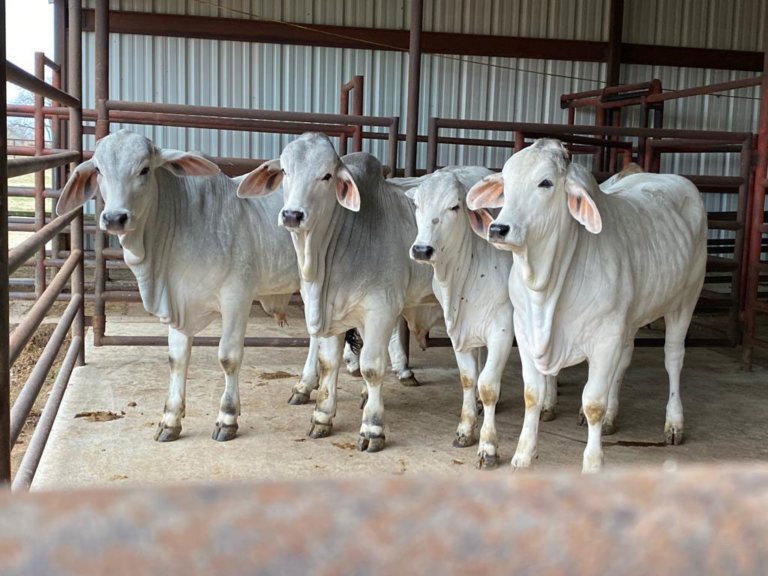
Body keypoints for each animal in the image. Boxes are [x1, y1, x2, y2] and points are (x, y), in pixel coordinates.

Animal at [56, 129, 324, 443]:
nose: (114, 218)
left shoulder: (236, 298)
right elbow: (177, 358)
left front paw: (227, 418)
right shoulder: (177, 300)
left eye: (144, 169)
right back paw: (304, 386)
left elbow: (228, 357)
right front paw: (170, 420)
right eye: (98, 170)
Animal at [236, 133, 472, 452]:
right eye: (285, 171)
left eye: (326, 176)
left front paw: (372, 428)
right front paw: (322, 416)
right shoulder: (329, 311)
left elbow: (371, 367)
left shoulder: (381, 309)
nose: (292, 215)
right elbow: (328, 362)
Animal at [407, 170, 558, 468]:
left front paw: (488, 447)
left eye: (454, 207)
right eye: (417, 204)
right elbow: (468, 378)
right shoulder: (457, 331)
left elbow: (488, 385)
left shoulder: (501, 329)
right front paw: (466, 429)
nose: (421, 250)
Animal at [467, 139, 707, 472]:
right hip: (630, 319)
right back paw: (611, 419)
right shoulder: (525, 332)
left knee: (673, 358)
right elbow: (532, 394)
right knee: (625, 359)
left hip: (685, 299)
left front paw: (593, 464)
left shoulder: (605, 338)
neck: (545, 289)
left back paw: (673, 423)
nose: (499, 229)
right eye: (506, 181)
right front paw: (523, 454)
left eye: (545, 183)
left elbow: (593, 402)